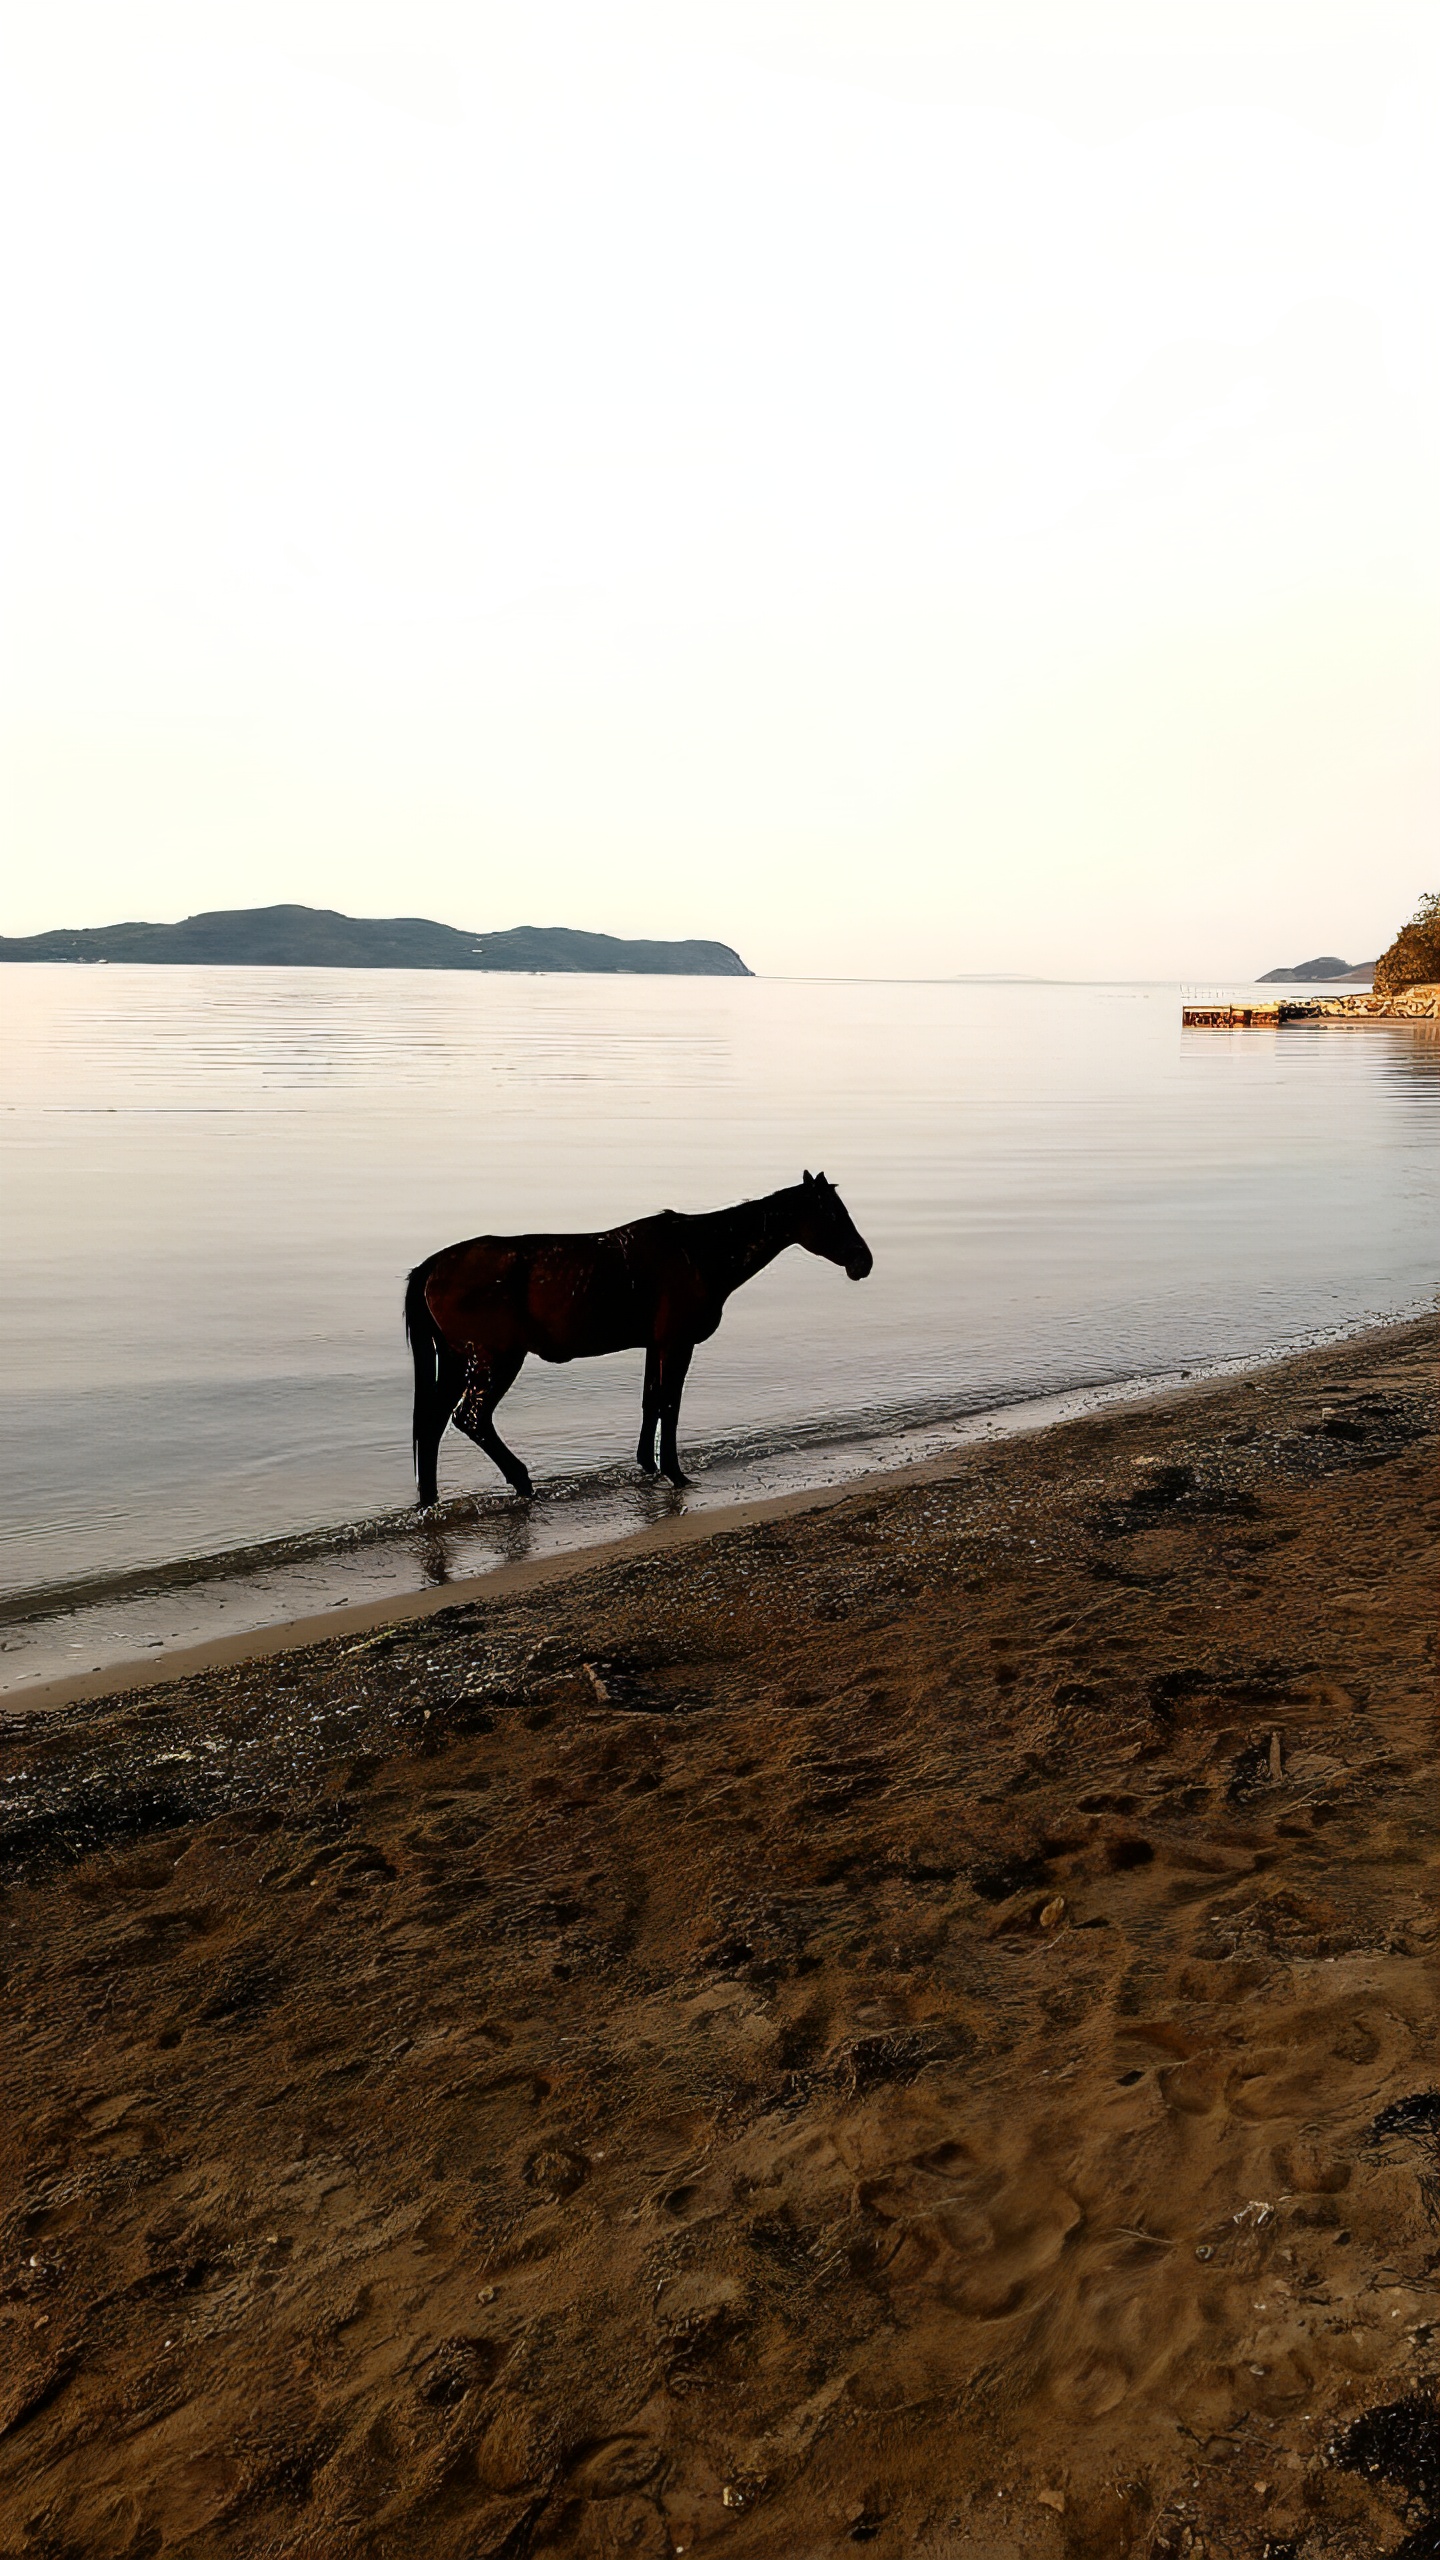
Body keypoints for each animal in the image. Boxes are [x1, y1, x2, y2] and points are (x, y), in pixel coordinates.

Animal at [407, 1172, 876, 1505]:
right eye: (832, 1215)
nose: (863, 1261)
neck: (700, 1251)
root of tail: (433, 1266)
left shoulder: (656, 1345)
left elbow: (651, 1402)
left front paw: (649, 1466)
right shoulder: (676, 1343)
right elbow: (669, 1405)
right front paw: (674, 1471)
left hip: (457, 1359)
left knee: (432, 1426)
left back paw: (430, 1501)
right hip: (496, 1359)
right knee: (471, 1419)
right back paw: (522, 1482)